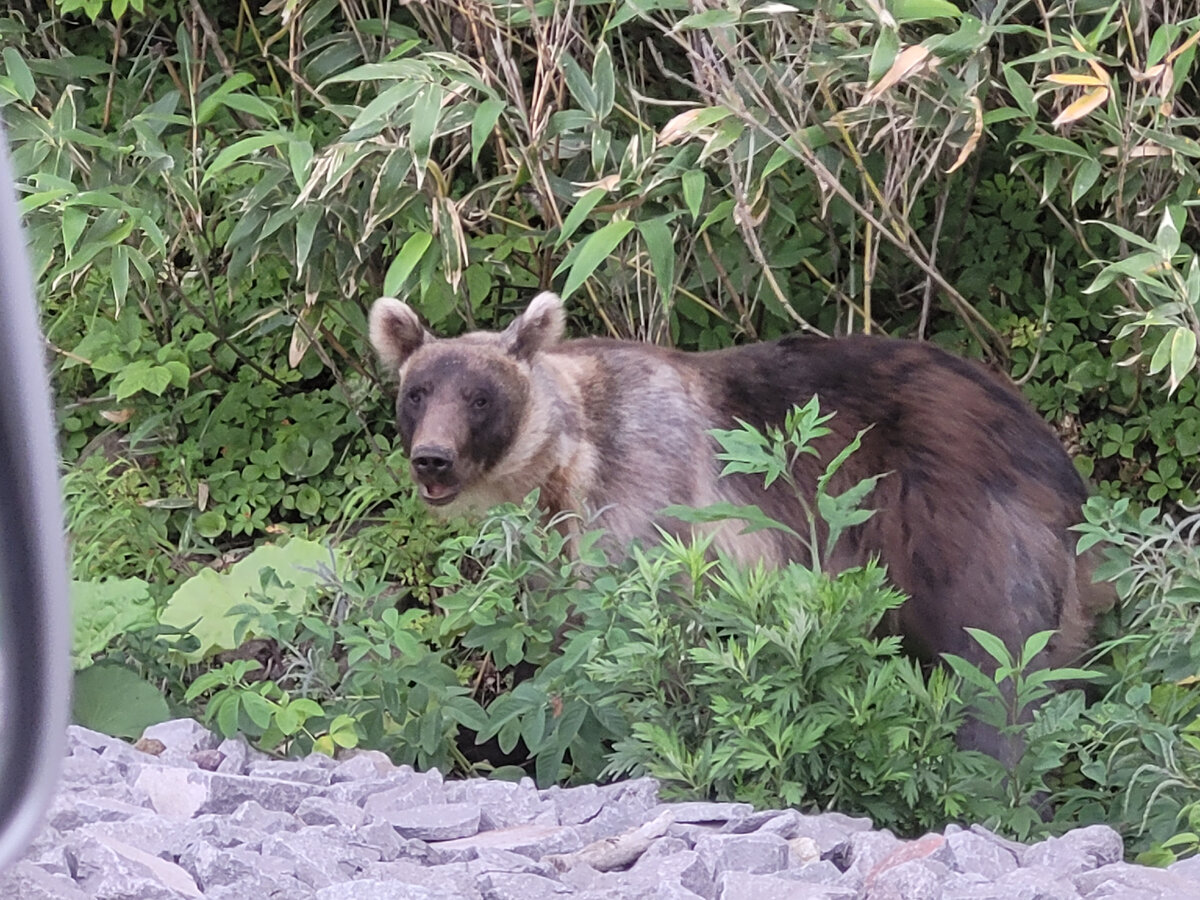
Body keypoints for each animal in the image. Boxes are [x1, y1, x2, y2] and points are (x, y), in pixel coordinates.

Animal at [369, 290, 1108, 748]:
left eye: (480, 397)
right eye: (417, 393)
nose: (433, 459)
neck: (566, 460)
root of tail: (1057, 459)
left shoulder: (645, 489)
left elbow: (638, 633)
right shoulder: (555, 539)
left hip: (957, 521)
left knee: (996, 663)